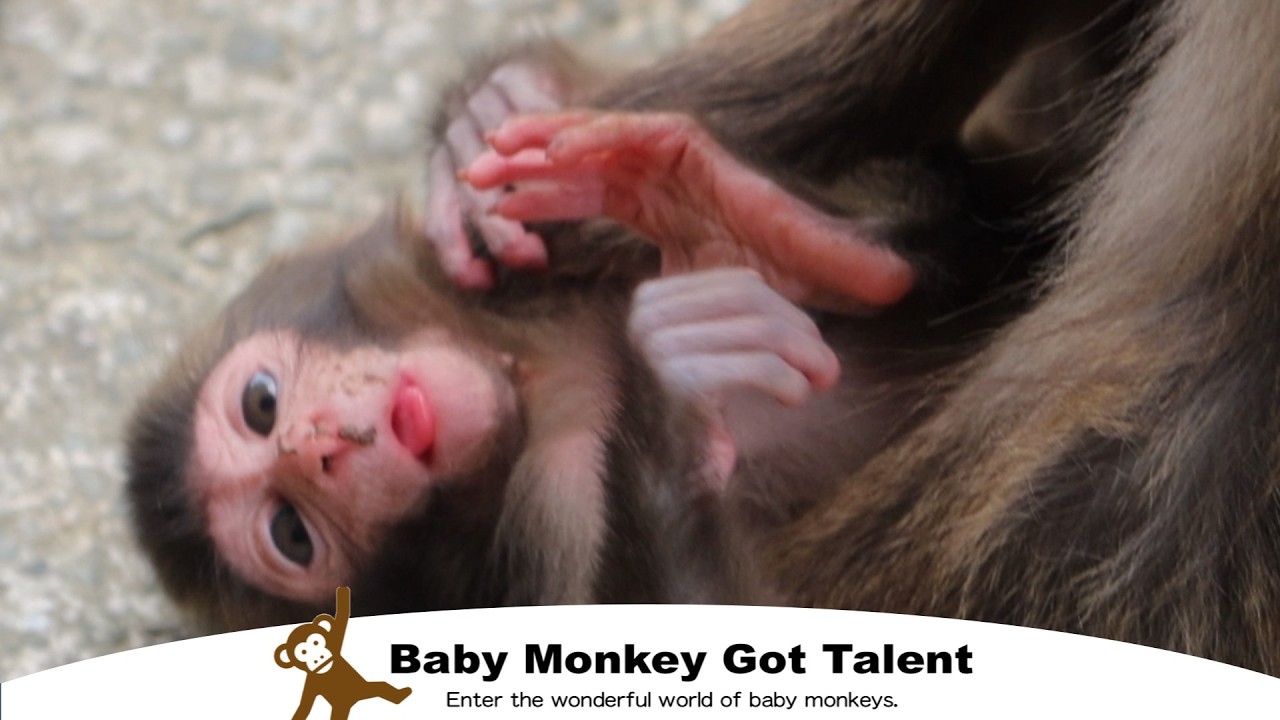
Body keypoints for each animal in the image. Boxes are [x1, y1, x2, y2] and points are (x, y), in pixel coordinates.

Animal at [275, 586, 412, 720]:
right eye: (303, 652)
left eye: (316, 642)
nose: (318, 656)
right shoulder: (311, 683)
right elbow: (306, 705)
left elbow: (342, 616)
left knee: (381, 686)